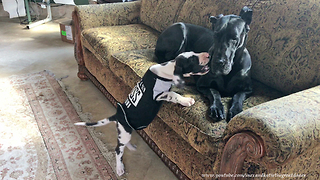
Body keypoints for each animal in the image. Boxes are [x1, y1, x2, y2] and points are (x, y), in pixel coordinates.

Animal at [75, 51, 210, 175]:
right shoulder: (159, 95)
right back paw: (119, 168)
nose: (208, 54)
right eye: (192, 59)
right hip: (125, 132)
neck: (167, 70)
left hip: (126, 131)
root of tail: (117, 115)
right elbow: (173, 94)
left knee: (123, 143)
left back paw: (130, 147)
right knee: (118, 149)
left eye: (194, 52)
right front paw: (187, 100)